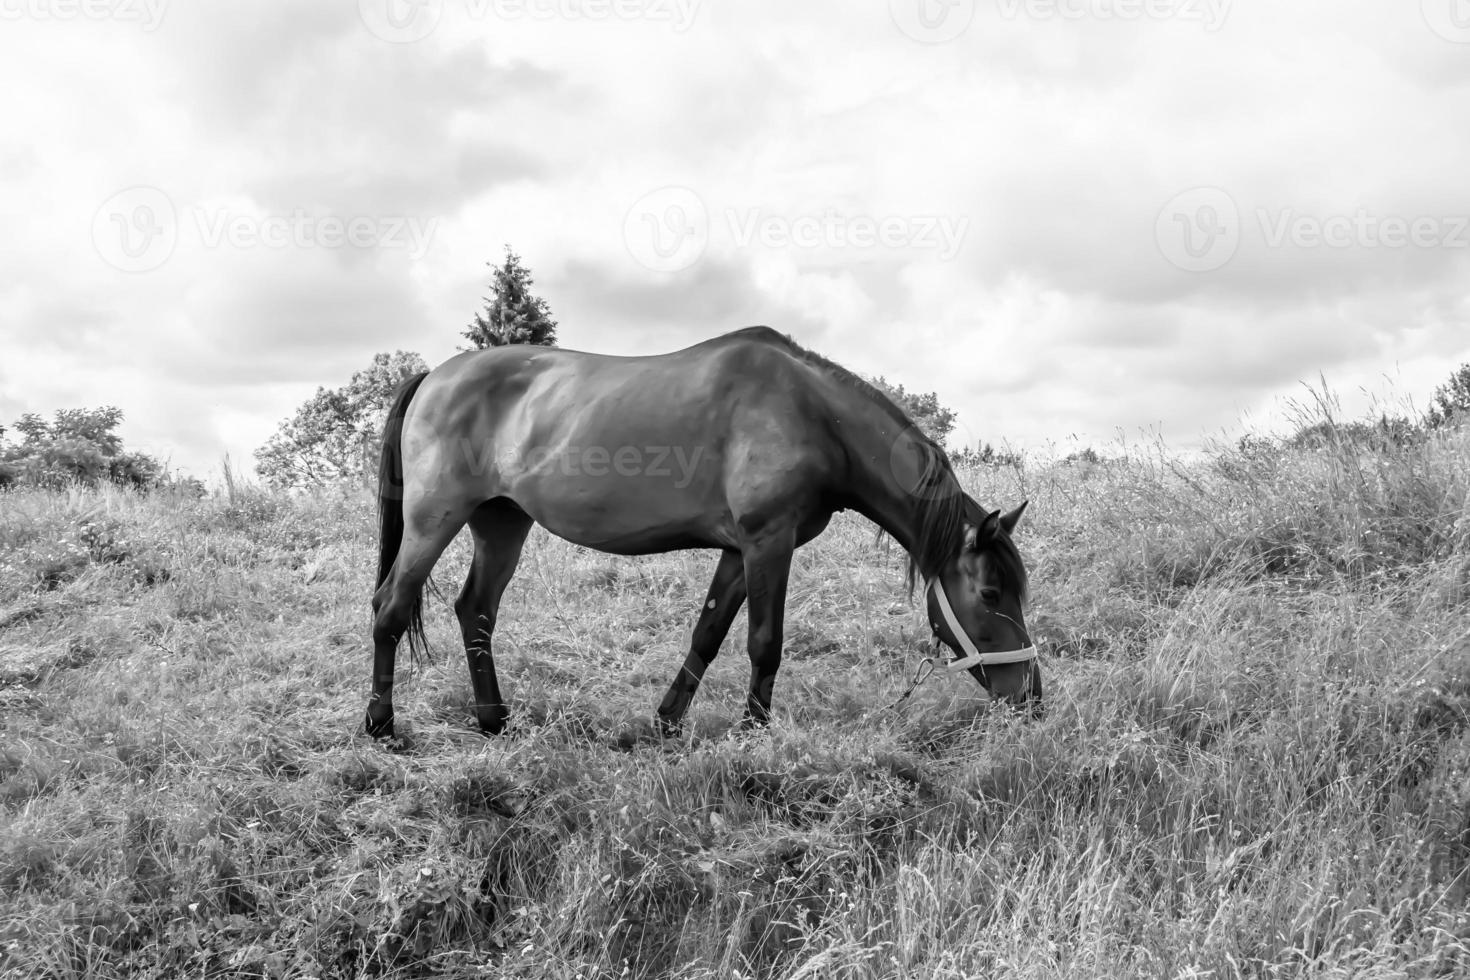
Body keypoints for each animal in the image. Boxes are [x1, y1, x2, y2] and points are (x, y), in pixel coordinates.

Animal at [363, 326, 1040, 740]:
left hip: (502, 523)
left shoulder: (738, 552)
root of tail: (433, 377)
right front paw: (753, 732)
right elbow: (765, 641)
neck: (812, 414)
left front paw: (666, 723)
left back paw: (494, 720)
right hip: (433, 520)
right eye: (990, 594)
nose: (1031, 697)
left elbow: (708, 636)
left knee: (475, 611)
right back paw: (381, 725)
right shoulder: (769, 542)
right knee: (391, 605)